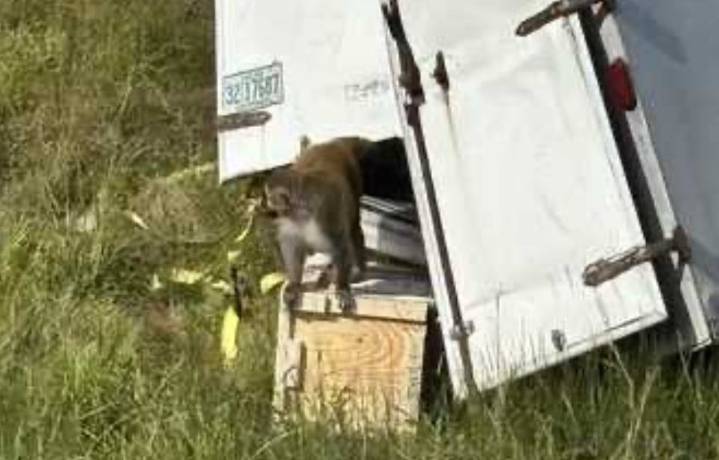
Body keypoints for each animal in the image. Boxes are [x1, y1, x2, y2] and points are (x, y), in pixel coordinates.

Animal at [264, 137, 370, 311]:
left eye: (268, 196)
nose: (267, 202)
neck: (301, 210)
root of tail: (331, 144)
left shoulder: (326, 213)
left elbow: (340, 245)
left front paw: (342, 287)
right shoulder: (290, 221)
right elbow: (292, 246)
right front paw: (294, 284)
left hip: (354, 176)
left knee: (354, 227)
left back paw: (357, 270)